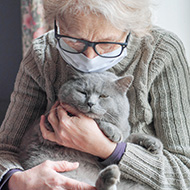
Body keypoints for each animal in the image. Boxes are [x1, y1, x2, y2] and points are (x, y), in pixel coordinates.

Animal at [19, 67, 163, 190]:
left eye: (103, 96)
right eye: (83, 92)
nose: (90, 103)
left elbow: (130, 137)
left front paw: (153, 143)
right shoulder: (47, 125)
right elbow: (95, 120)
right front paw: (114, 131)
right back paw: (108, 176)